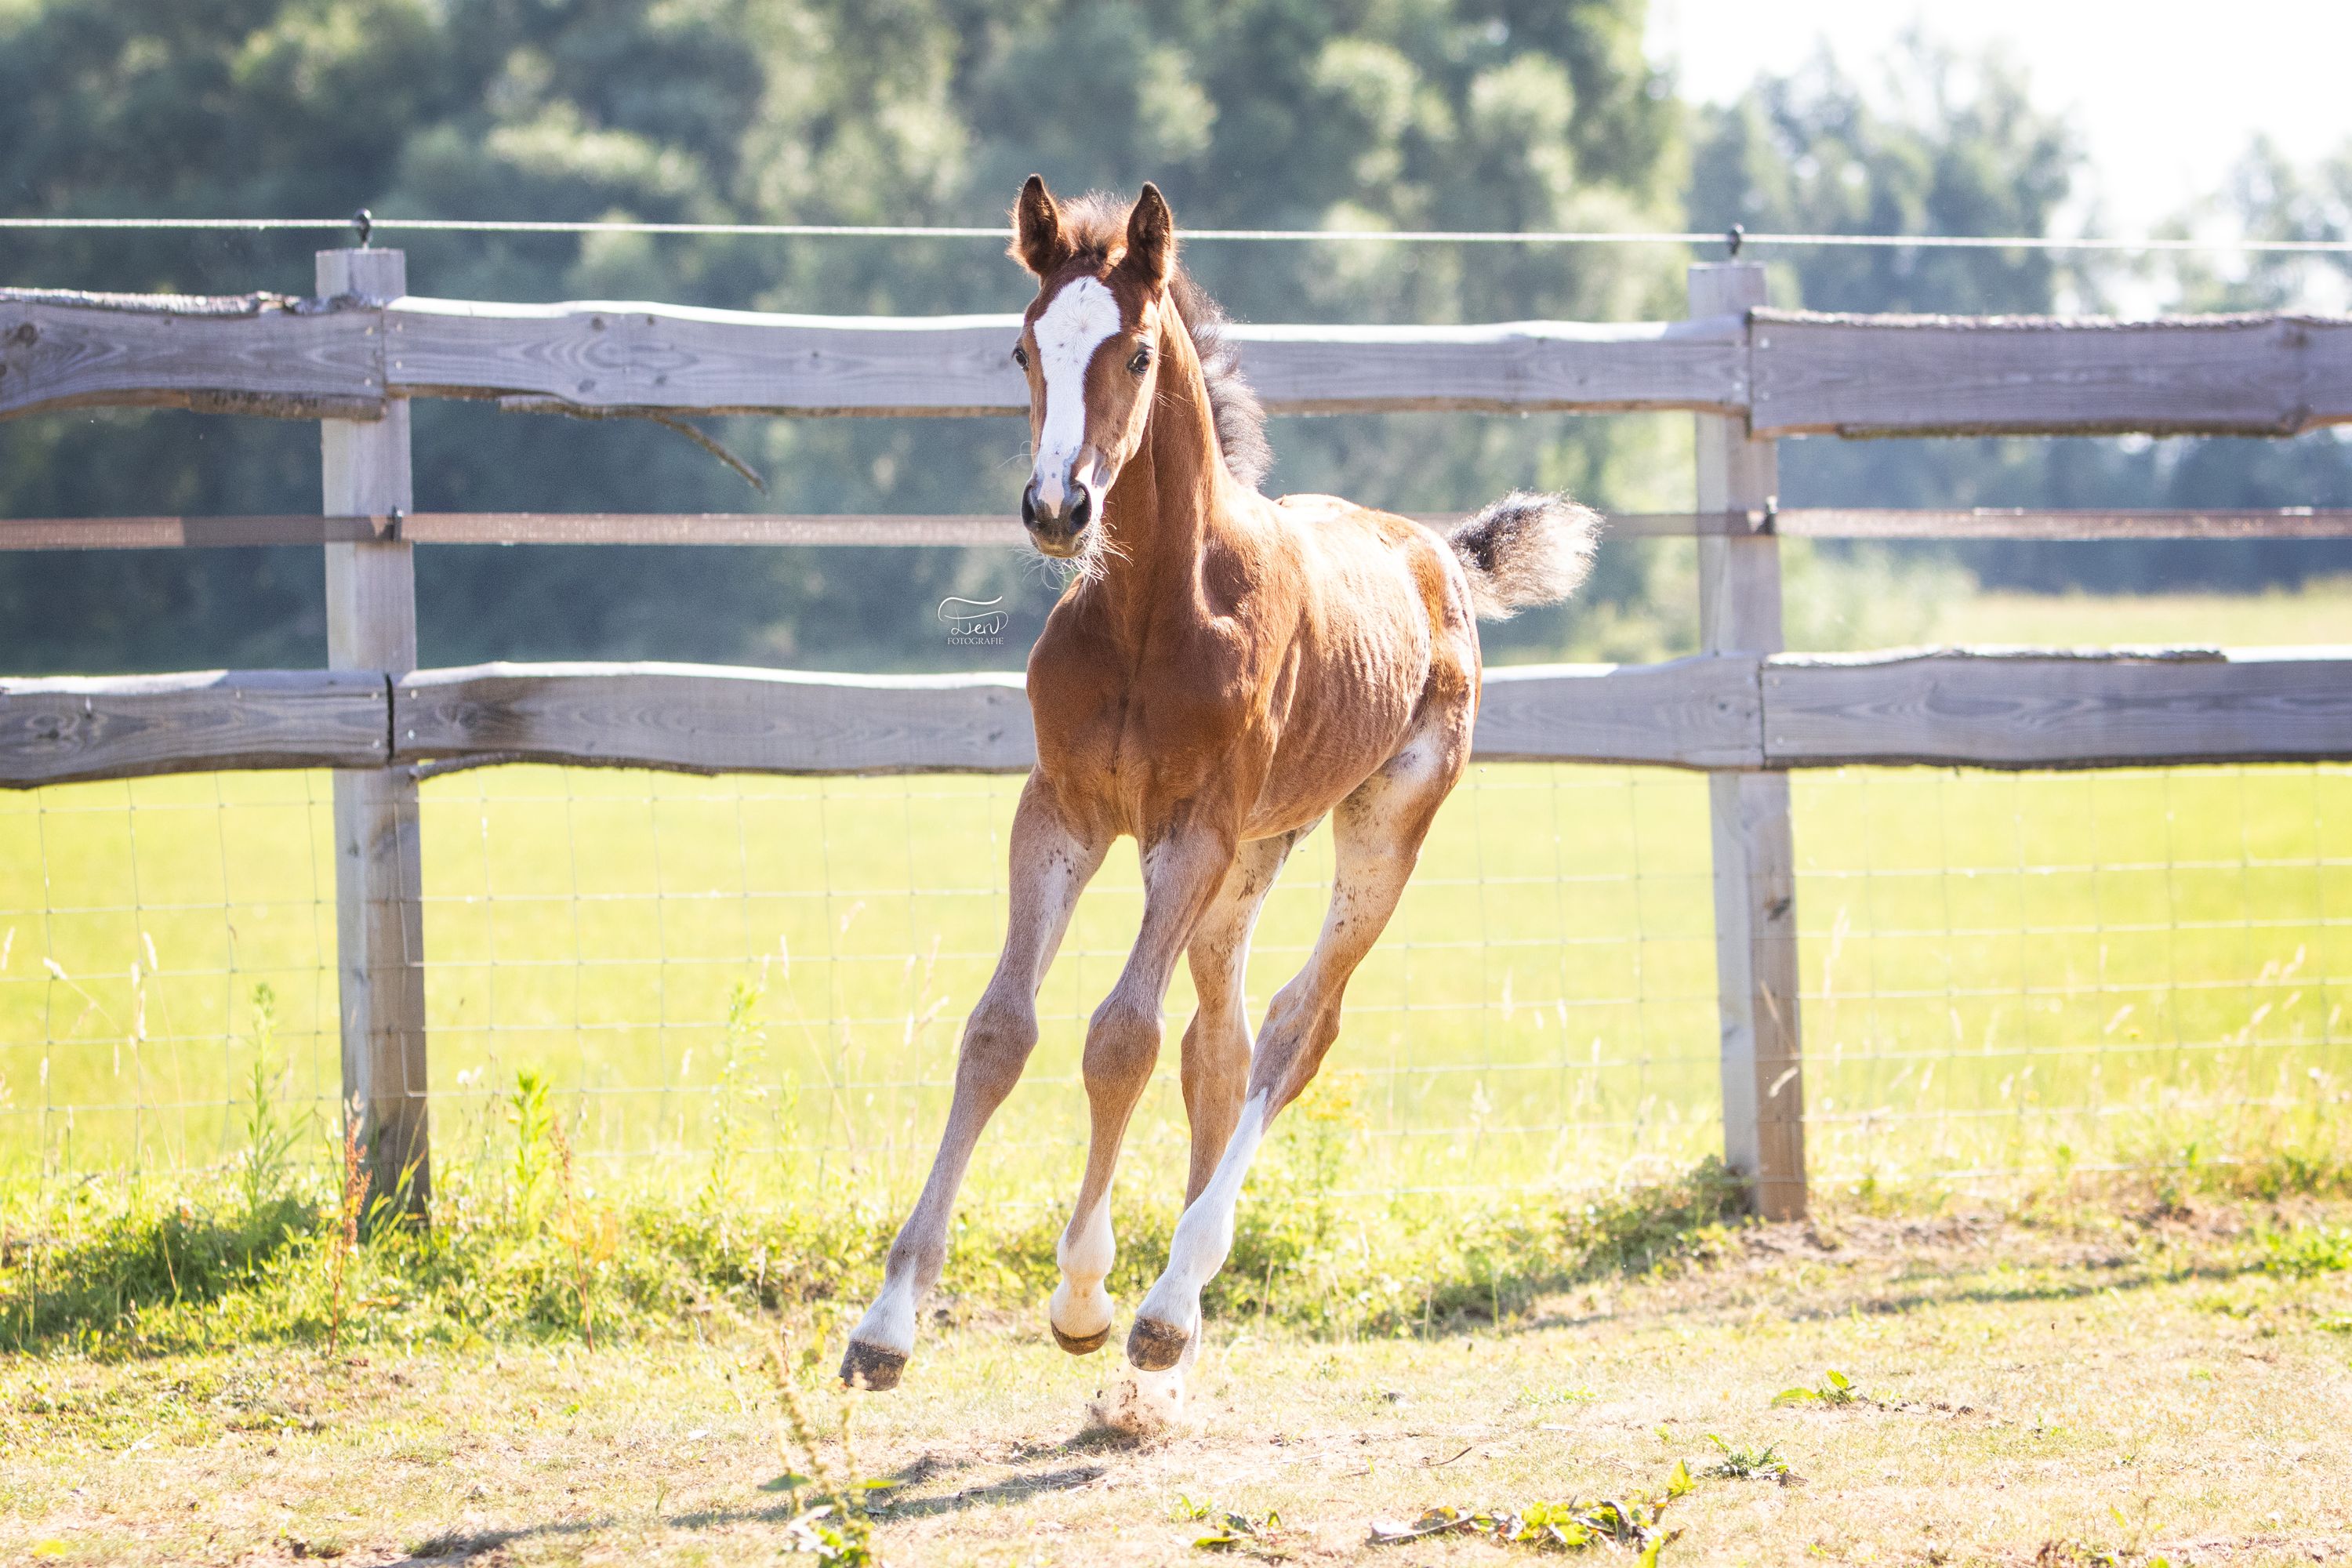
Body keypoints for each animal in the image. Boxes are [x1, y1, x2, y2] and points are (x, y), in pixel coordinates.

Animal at [841, 177, 1598, 1405]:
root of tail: (1438, 553)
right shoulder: (1062, 812)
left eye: (1140, 352)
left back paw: (1168, 1304)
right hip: (1255, 854)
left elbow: (1119, 1036)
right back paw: (1170, 1349)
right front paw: (887, 1324)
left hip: (1378, 831)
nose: (1057, 509)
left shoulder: (1187, 831)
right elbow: (1004, 1030)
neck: (1154, 609)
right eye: (1023, 348)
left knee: (1296, 1028)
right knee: (1223, 1044)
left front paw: (1085, 1297)